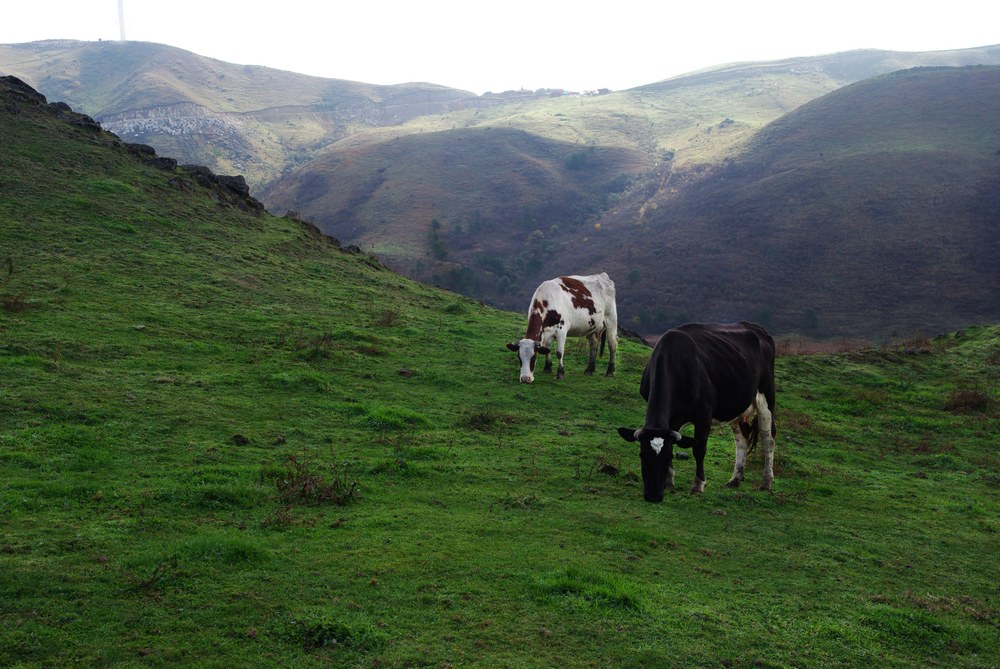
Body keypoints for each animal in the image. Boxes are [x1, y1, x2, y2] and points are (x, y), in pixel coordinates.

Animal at [612, 320, 776, 498]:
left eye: (667, 456)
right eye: (642, 456)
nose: (653, 494)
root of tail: (757, 328)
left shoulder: (704, 415)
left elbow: (699, 449)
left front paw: (698, 485)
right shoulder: (672, 419)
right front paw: (669, 482)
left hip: (766, 396)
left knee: (768, 439)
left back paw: (766, 483)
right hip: (736, 406)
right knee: (741, 440)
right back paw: (735, 479)